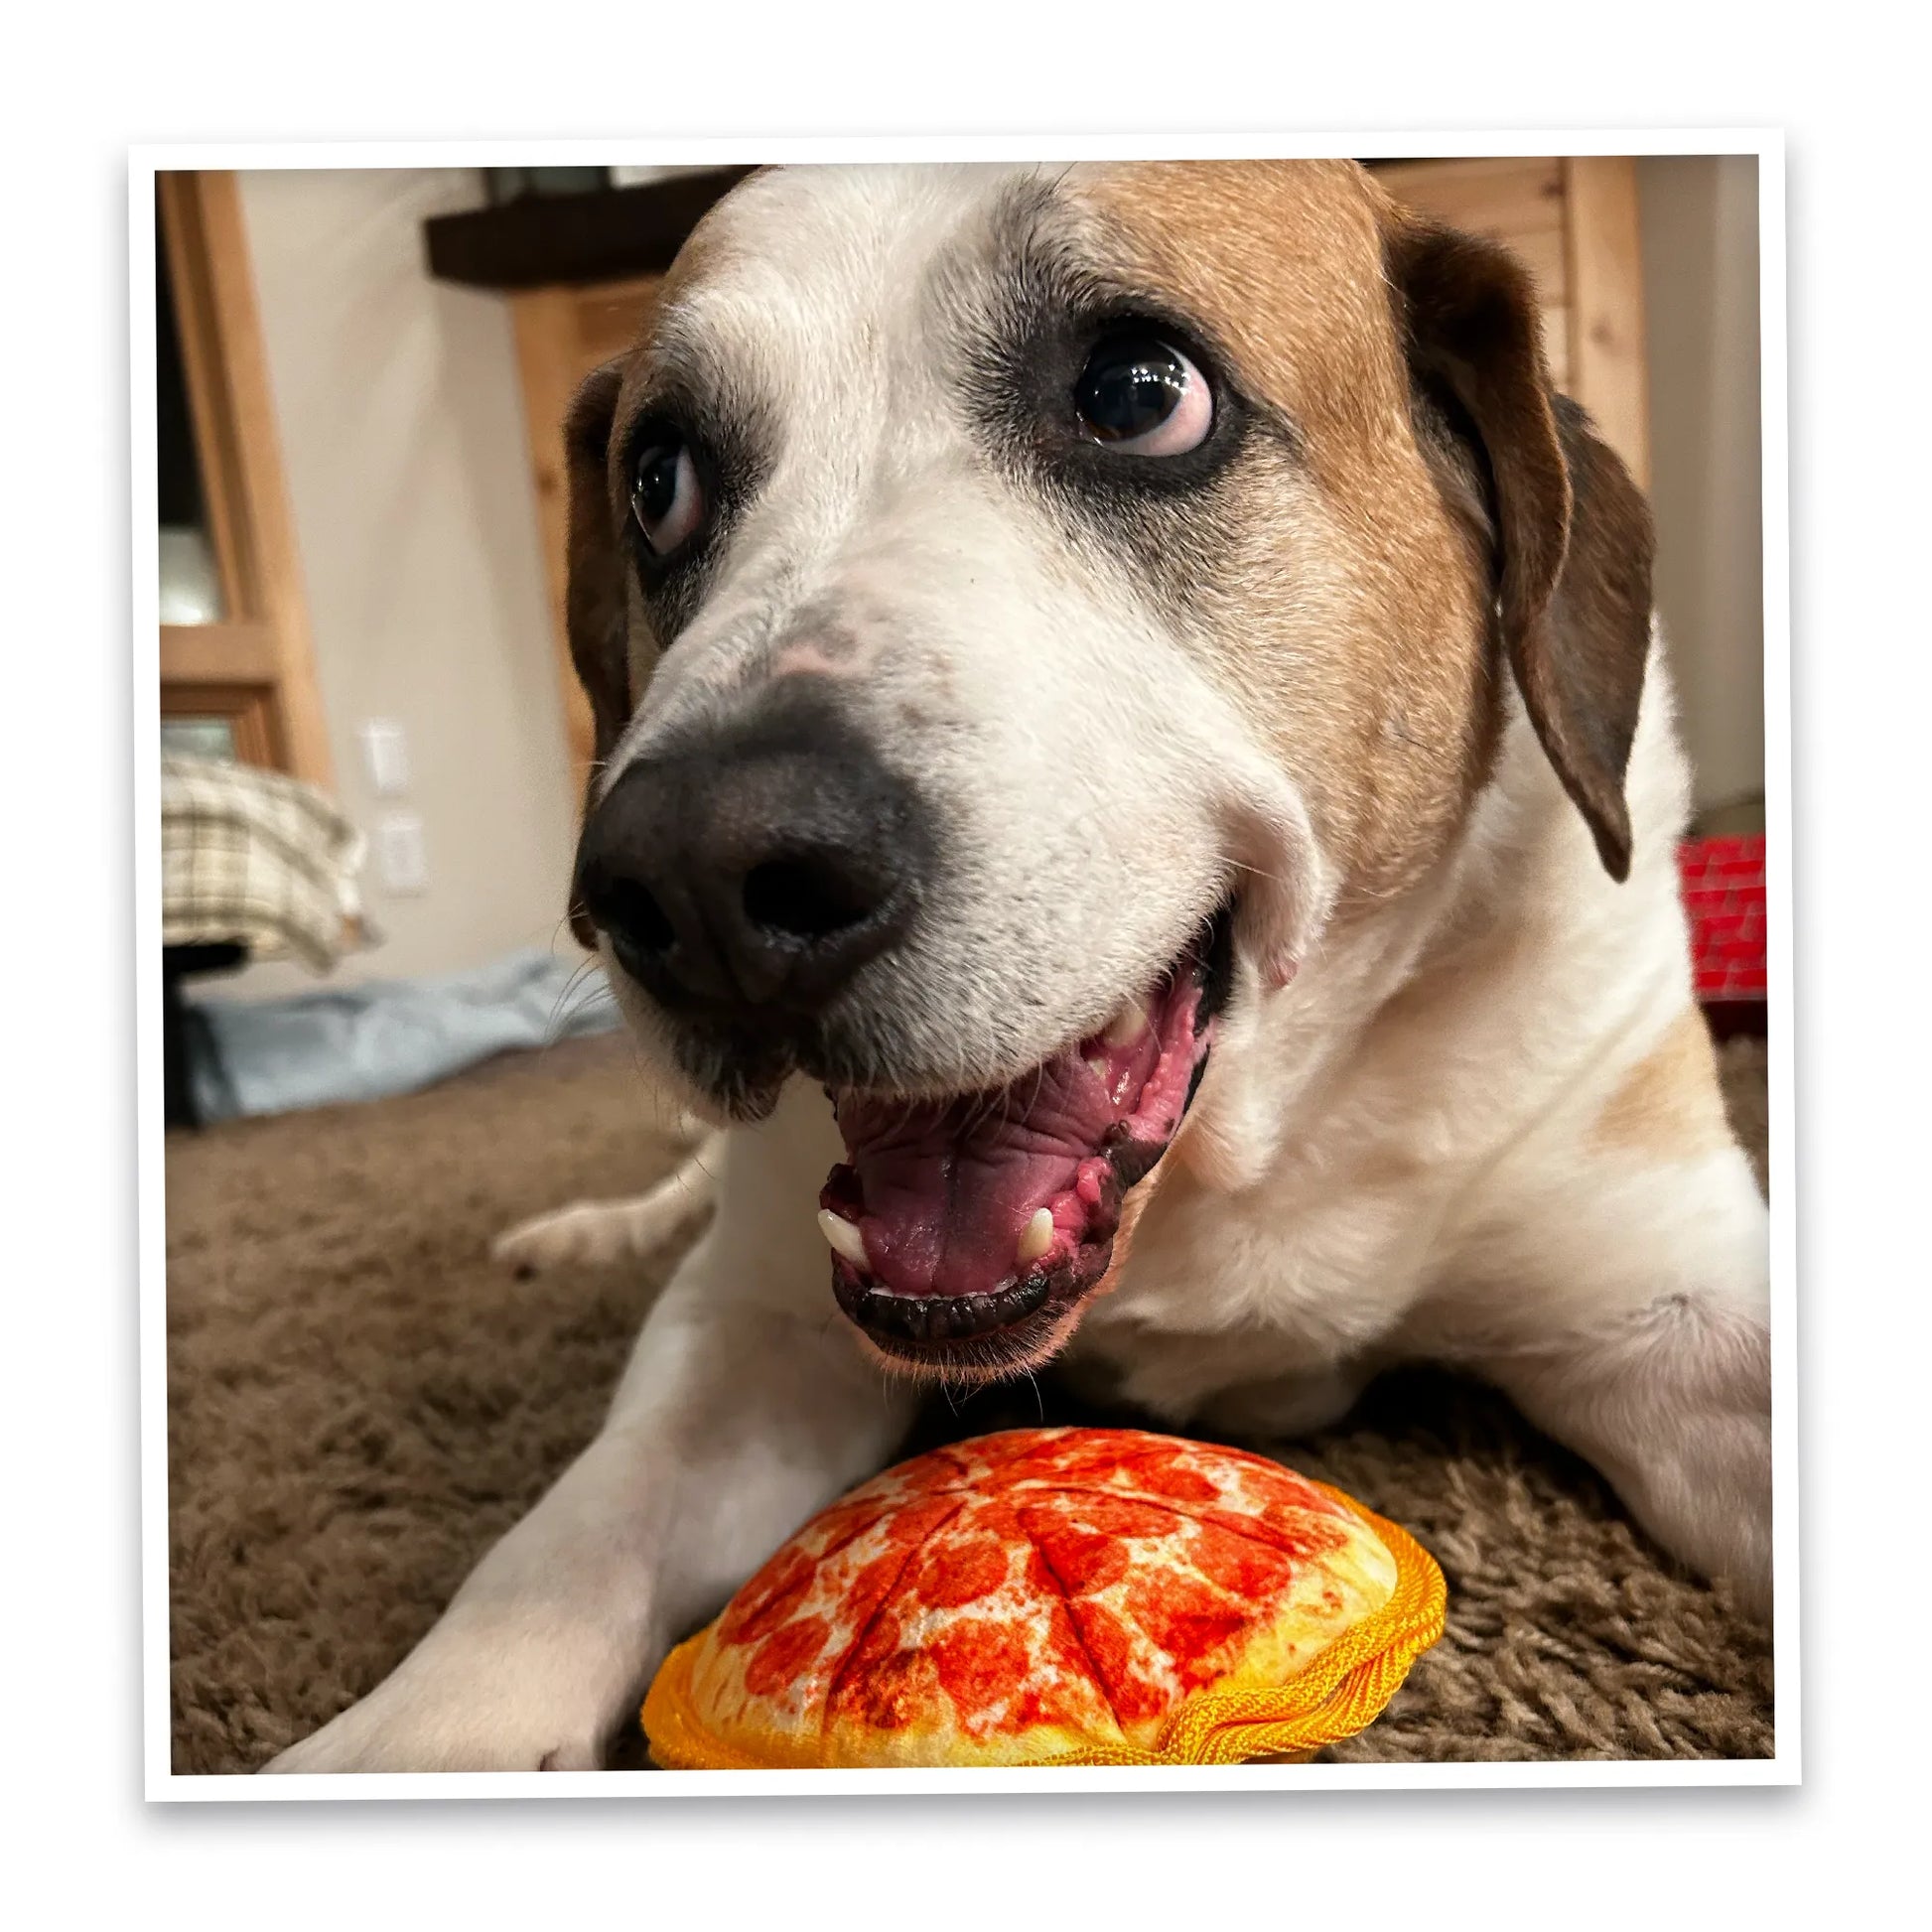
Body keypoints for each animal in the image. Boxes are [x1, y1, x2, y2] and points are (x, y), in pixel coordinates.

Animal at [268, 162, 1769, 1769]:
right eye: (657, 483)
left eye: (1137, 395)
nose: (694, 878)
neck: (1236, 1165)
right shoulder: (762, 1329)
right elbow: (576, 1524)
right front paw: (415, 1734)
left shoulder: (1667, 1293)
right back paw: (584, 1229)